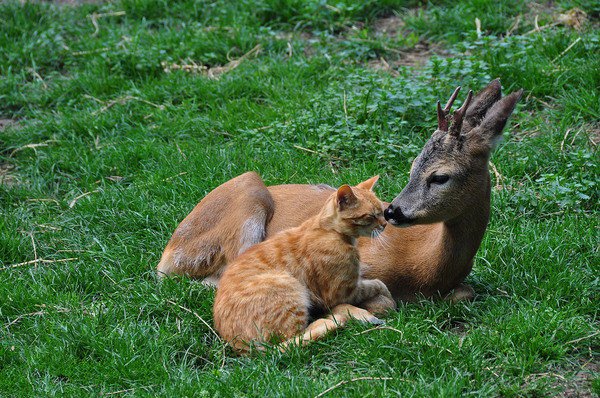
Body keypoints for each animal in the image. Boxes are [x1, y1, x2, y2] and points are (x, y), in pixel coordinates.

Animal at [157, 79, 524, 318]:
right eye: (412, 166)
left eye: (440, 176)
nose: (393, 211)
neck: (424, 267)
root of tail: (170, 250)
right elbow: (383, 302)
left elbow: (465, 294)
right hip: (247, 194)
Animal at [213, 176, 396, 352]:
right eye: (371, 216)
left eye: (382, 212)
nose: (385, 224)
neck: (329, 231)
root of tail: (243, 348)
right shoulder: (342, 292)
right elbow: (377, 284)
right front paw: (386, 295)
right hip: (290, 288)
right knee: (292, 340)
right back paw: (332, 321)